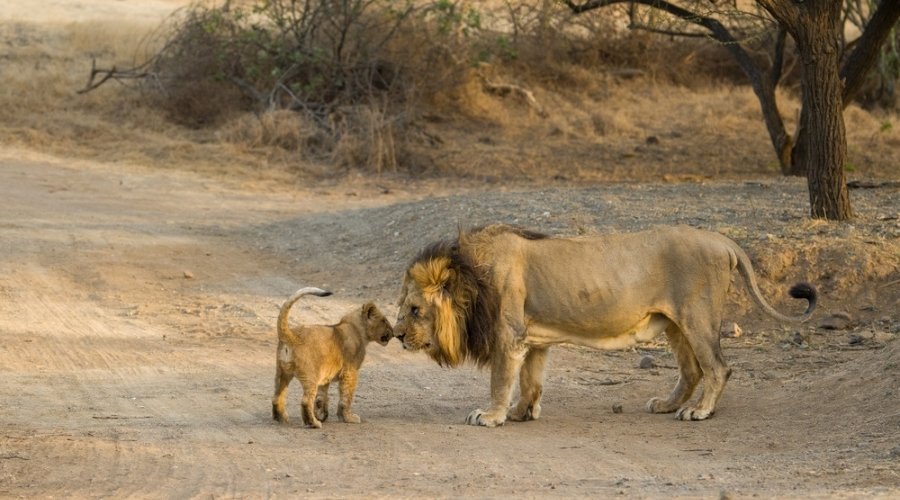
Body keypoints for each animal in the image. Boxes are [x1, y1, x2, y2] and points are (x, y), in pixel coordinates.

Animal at [271, 287, 393, 428]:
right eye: (384, 321)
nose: (393, 333)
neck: (357, 329)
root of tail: (291, 335)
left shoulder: (326, 375)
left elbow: (322, 396)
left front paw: (321, 414)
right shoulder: (350, 372)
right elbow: (346, 397)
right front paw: (348, 418)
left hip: (282, 372)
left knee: (277, 396)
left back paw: (281, 418)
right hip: (310, 375)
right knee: (306, 401)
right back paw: (314, 423)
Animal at [394, 224, 816, 426]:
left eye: (414, 309)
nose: (397, 336)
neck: (470, 276)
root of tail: (723, 240)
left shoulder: (508, 336)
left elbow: (500, 380)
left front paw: (491, 416)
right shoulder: (533, 339)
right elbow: (531, 381)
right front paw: (520, 413)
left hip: (697, 318)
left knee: (718, 367)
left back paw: (699, 412)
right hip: (674, 324)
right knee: (692, 370)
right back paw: (667, 404)